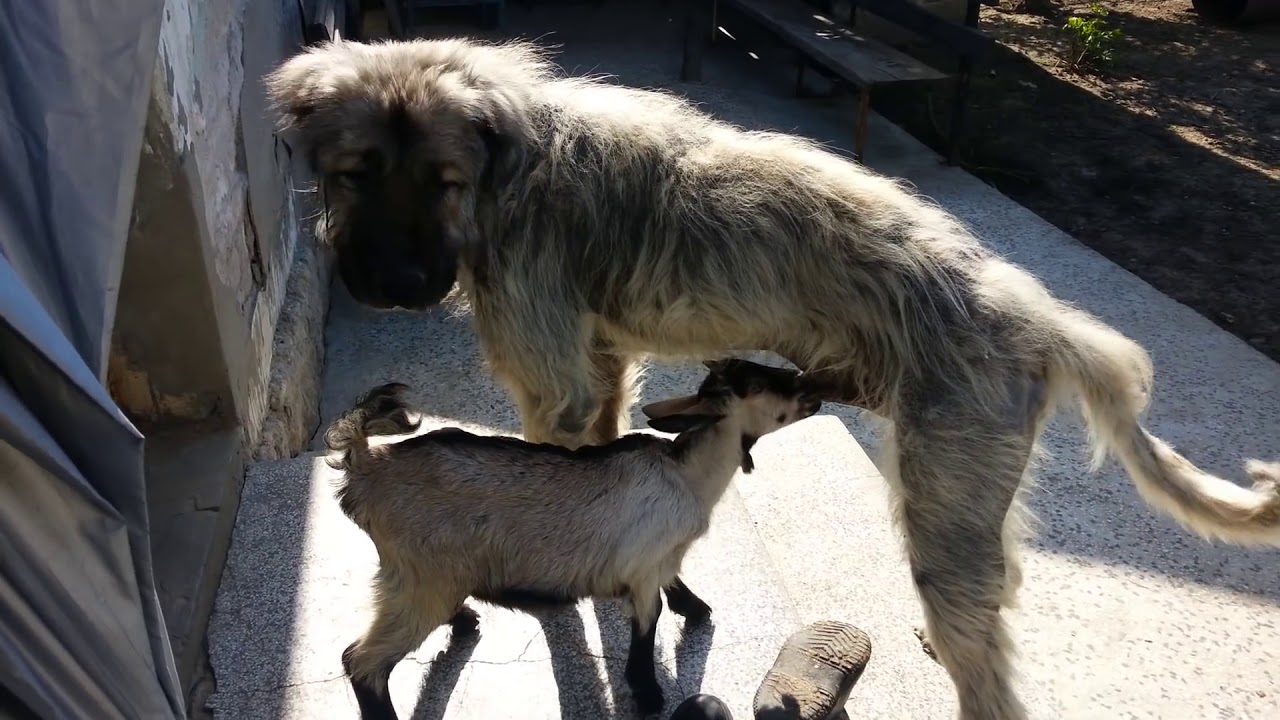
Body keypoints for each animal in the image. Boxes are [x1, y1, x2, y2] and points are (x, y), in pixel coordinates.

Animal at [323, 358, 824, 719]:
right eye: (757, 383)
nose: (812, 388)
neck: (687, 474)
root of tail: (366, 467)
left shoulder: (658, 562)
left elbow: (676, 586)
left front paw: (696, 609)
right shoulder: (644, 571)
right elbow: (649, 626)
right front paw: (648, 695)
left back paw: (465, 620)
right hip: (421, 578)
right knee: (362, 661)